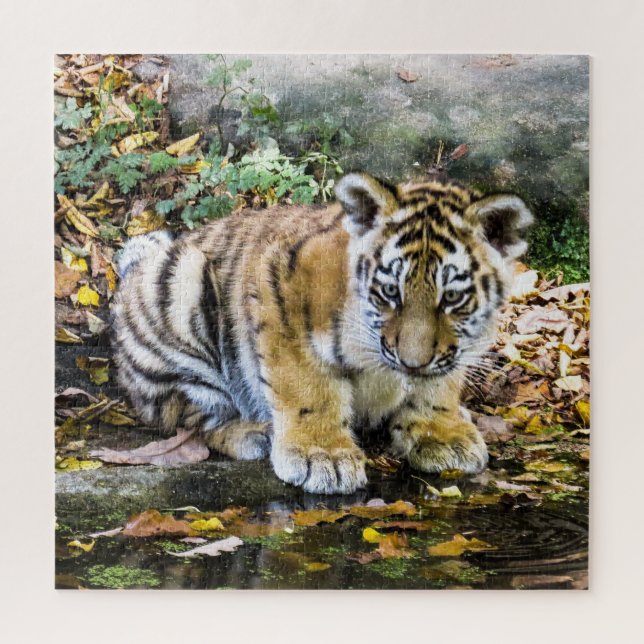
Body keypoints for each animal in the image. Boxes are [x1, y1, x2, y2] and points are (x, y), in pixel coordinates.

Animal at [112, 172, 533, 494]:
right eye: (390, 291)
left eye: (452, 297)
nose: (412, 363)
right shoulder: (279, 288)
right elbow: (307, 388)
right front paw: (323, 457)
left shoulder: (453, 350)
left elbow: (437, 385)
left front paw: (441, 434)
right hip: (181, 284)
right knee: (188, 415)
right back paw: (255, 433)